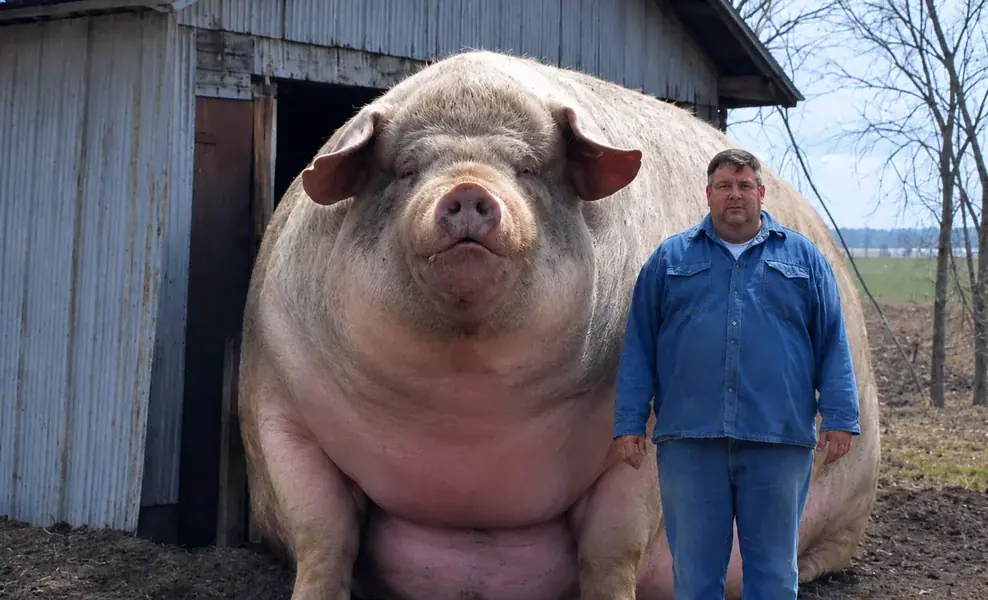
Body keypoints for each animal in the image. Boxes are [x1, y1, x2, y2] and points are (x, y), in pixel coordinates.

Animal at [238, 50, 880, 600]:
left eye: (528, 168)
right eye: (406, 168)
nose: (467, 188)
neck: (466, 409)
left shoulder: (650, 433)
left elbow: (610, 549)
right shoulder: (277, 403)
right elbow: (324, 535)